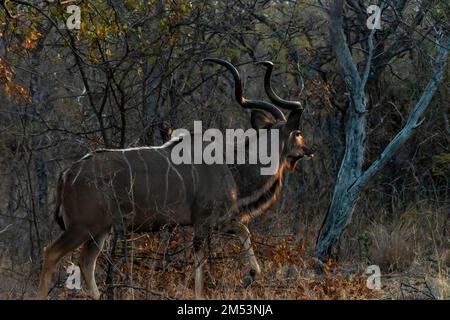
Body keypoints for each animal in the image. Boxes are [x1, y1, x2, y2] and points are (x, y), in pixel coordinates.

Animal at [37, 58, 312, 300]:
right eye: (298, 132)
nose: (309, 151)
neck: (232, 166)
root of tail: (67, 174)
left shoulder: (218, 221)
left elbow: (242, 232)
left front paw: (249, 276)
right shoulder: (205, 221)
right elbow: (203, 258)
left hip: (101, 230)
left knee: (87, 263)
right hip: (82, 226)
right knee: (51, 253)